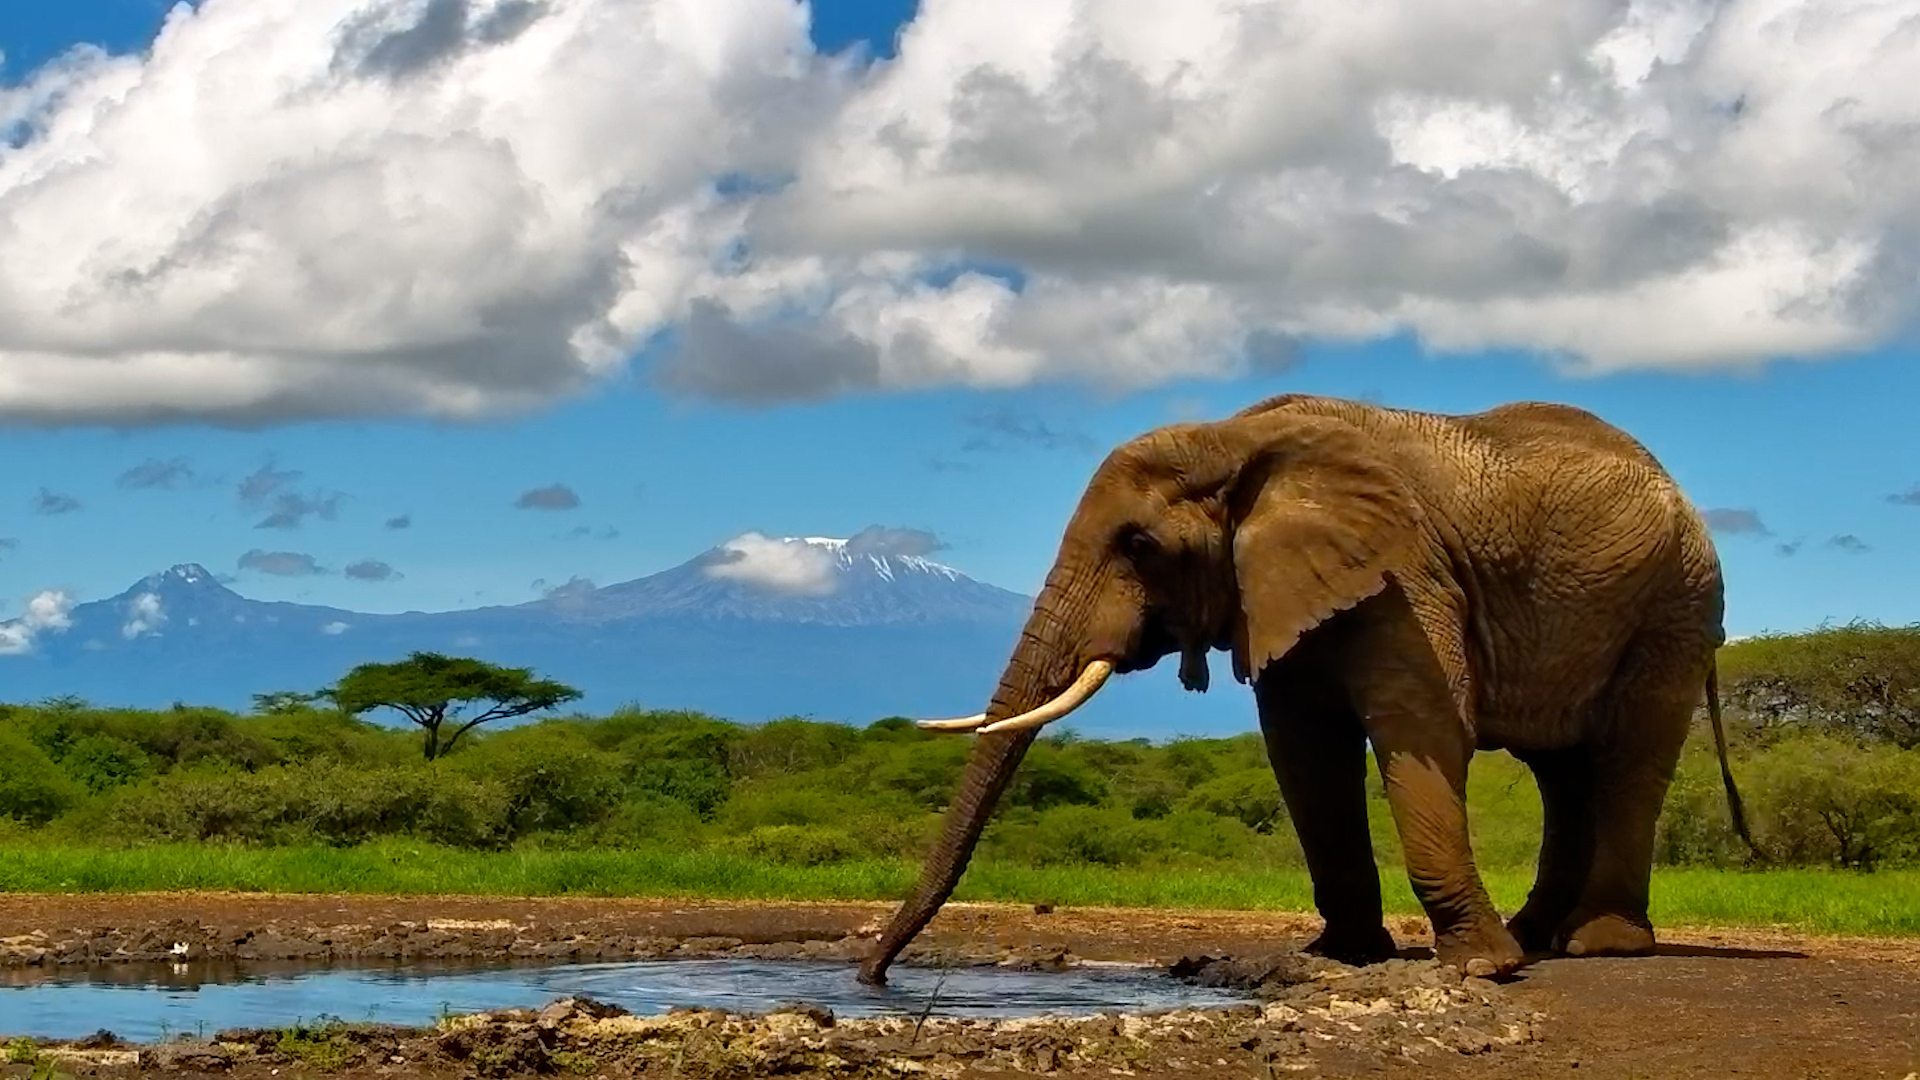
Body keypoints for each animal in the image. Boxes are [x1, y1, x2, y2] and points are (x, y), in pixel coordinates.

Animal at [858, 392, 1758, 985]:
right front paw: (1341, 956)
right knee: (1562, 770)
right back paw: (1539, 934)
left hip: (1675, 604)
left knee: (1627, 761)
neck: (1235, 439)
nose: (872, 978)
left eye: (1139, 545)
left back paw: (1595, 944)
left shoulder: (1407, 571)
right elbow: (1304, 750)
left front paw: (1480, 970)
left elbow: (1423, 726)